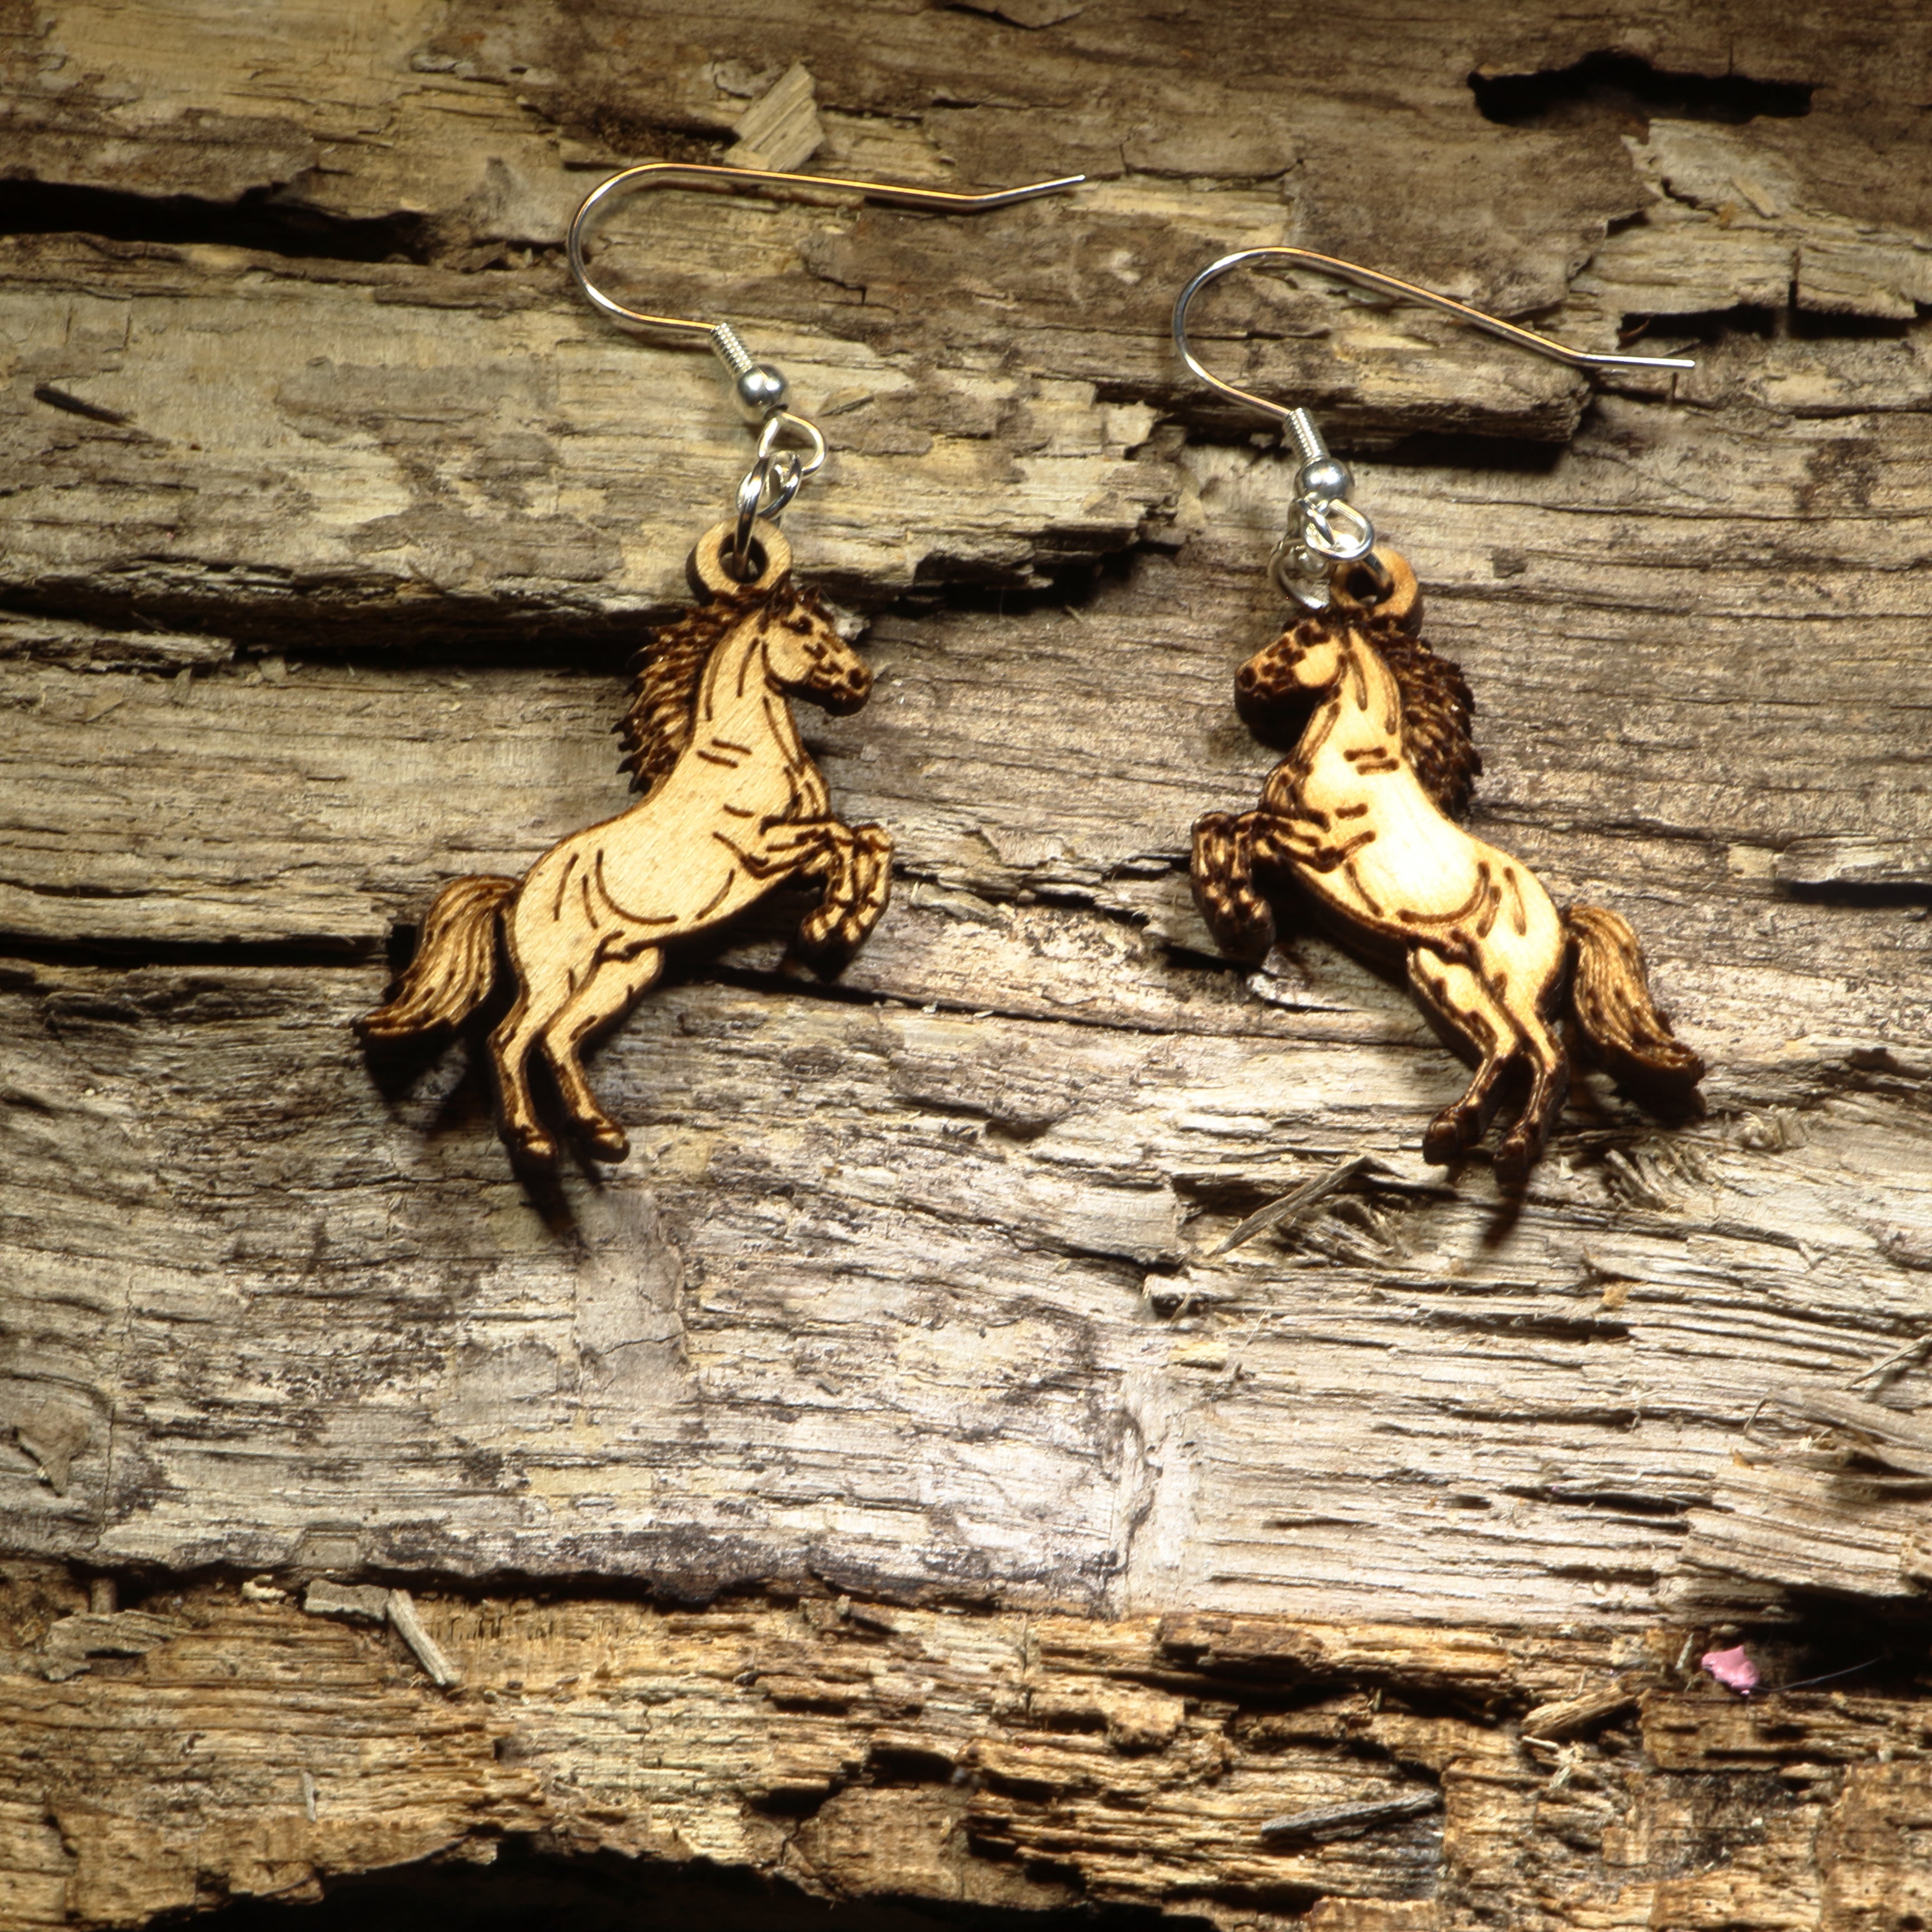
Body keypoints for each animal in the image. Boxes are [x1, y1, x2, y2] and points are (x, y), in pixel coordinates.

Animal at [358, 522, 892, 1165]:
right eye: (805, 631)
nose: (860, 684)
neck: (745, 756)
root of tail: (516, 894)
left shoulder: (787, 861)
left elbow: (870, 839)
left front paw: (848, 920)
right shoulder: (759, 852)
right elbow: (841, 838)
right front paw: (828, 923)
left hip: (627, 968)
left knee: (559, 1039)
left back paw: (602, 1133)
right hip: (559, 970)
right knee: (511, 1038)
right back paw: (535, 1140)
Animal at [1192, 548, 1703, 1182]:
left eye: (1306, 636)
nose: (1247, 679)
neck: (1354, 758)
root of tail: (1563, 921)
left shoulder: (1323, 848)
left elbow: (1239, 826)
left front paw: (1242, 912)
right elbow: (1219, 826)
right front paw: (1237, 909)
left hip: (1506, 981)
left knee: (1547, 1052)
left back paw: (1512, 1149)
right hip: (1444, 972)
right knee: (1504, 1047)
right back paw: (1452, 1131)